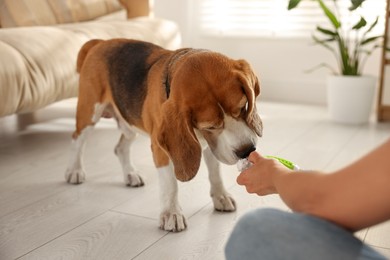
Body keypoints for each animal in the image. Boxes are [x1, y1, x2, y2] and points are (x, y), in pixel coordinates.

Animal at [66, 38, 262, 232]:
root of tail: (100, 42)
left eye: (243, 107)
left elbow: (215, 172)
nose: (247, 151)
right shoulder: (162, 148)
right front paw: (171, 214)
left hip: (129, 124)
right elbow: (170, 184)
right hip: (89, 114)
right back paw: (75, 170)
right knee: (77, 140)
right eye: (211, 126)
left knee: (120, 148)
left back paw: (130, 174)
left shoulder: (211, 145)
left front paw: (221, 196)